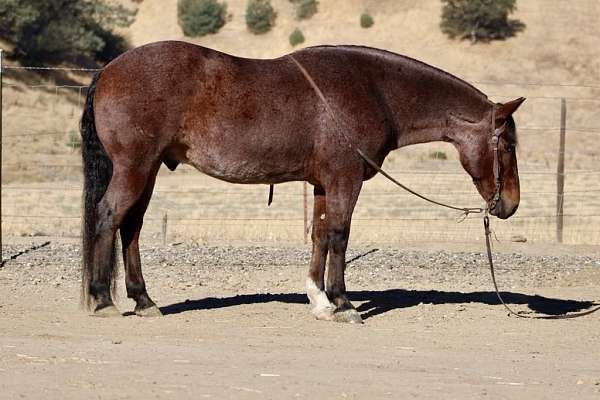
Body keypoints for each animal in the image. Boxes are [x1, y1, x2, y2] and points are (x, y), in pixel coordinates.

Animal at [81, 40, 524, 322]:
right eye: (507, 145)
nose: (510, 204)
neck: (374, 90)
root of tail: (108, 71)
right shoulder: (345, 178)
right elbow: (340, 234)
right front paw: (343, 304)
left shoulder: (323, 183)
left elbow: (320, 235)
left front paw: (319, 299)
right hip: (136, 167)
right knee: (108, 216)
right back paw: (103, 300)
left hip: (149, 170)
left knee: (131, 227)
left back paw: (143, 300)